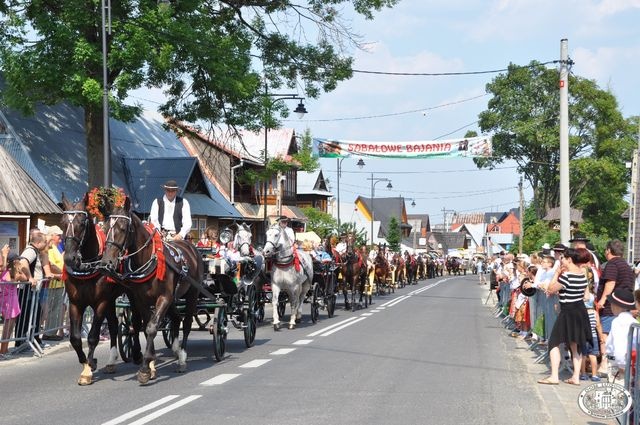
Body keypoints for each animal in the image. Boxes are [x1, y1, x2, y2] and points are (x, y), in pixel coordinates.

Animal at [61, 194, 141, 386]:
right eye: (63, 222)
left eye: (82, 223)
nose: (69, 258)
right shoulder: (76, 303)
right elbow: (75, 339)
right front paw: (88, 364)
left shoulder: (100, 302)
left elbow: (92, 336)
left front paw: (88, 370)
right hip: (111, 300)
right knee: (113, 325)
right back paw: (111, 361)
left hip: (131, 295)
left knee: (135, 323)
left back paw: (136, 353)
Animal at [95, 193, 202, 384]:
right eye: (105, 228)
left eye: (123, 228)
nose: (106, 263)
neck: (148, 260)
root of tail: (192, 248)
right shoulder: (141, 300)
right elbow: (146, 327)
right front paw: (150, 364)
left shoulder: (164, 298)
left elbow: (152, 327)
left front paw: (145, 367)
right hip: (173, 300)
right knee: (176, 318)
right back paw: (176, 350)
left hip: (192, 294)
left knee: (187, 322)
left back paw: (182, 357)